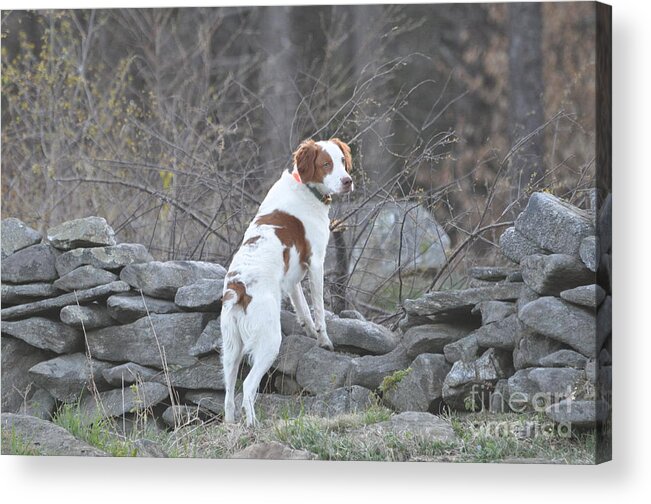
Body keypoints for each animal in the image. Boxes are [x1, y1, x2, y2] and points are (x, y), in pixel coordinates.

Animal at [220, 137, 354, 426]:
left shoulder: (292, 278)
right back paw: (253, 424)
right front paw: (324, 341)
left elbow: (303, 309)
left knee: (228, 394)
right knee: (248, 386)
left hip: (230, 349)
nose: (348, 181)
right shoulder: (316, 262)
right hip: (269, 341)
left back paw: (232, 424)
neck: (305, 188)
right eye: (326, 164)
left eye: (342, 161)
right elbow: (319, 309)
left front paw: (309, 331)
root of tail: (239, 288)